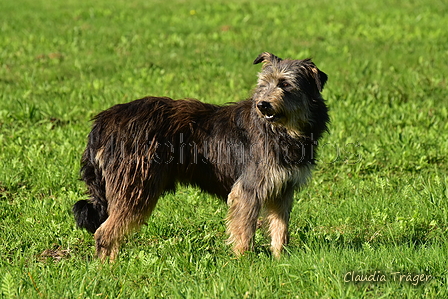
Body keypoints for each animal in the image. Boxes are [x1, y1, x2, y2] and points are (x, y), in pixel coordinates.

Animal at [73, 52, 328, 262]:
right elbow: (244, 231)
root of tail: (104, 121)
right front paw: (245, 262)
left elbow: (280, 229)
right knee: (103, 232)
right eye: (263, 84)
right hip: (136, 186)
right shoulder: (248, 190)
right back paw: (108, 268)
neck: (283, 131)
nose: (262, 105)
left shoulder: (283, 189)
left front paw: (279, 259)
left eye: (285, 84)